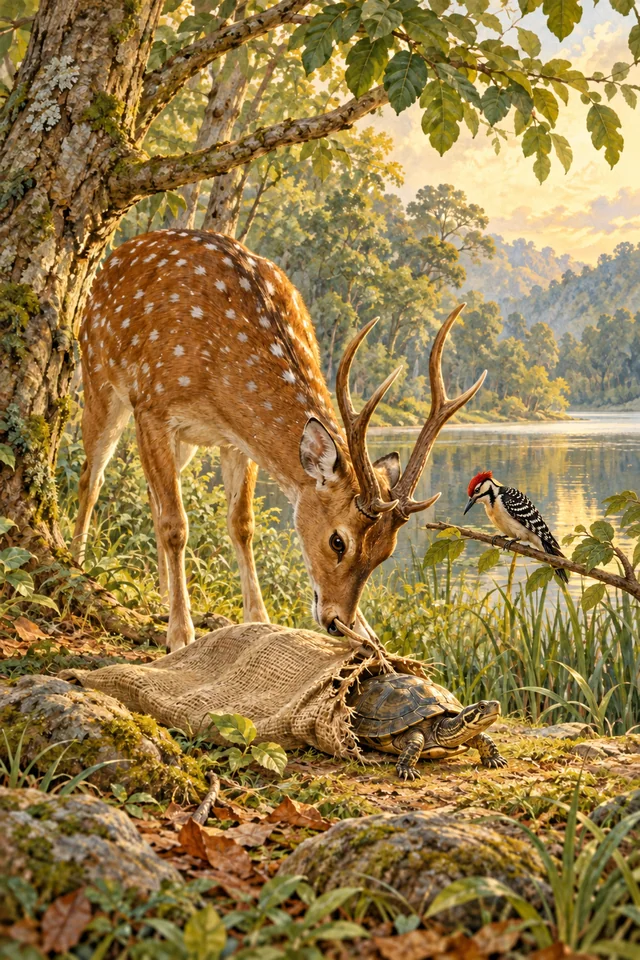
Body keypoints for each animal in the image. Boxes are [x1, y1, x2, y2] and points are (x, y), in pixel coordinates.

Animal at [73, 229, 485, 651]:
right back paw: (76, 564)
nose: (338, 621)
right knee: (93, 475)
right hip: (99, 376)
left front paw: (259, 619)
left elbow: (241, 524)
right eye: (338, 541)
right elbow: (176, 524)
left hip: (180, 441)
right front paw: (180, 633)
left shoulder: (235, 439)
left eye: (385, 554)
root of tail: (108, 261)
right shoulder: (153, 405)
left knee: (149, 496)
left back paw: (159, 589)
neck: (218, 369)